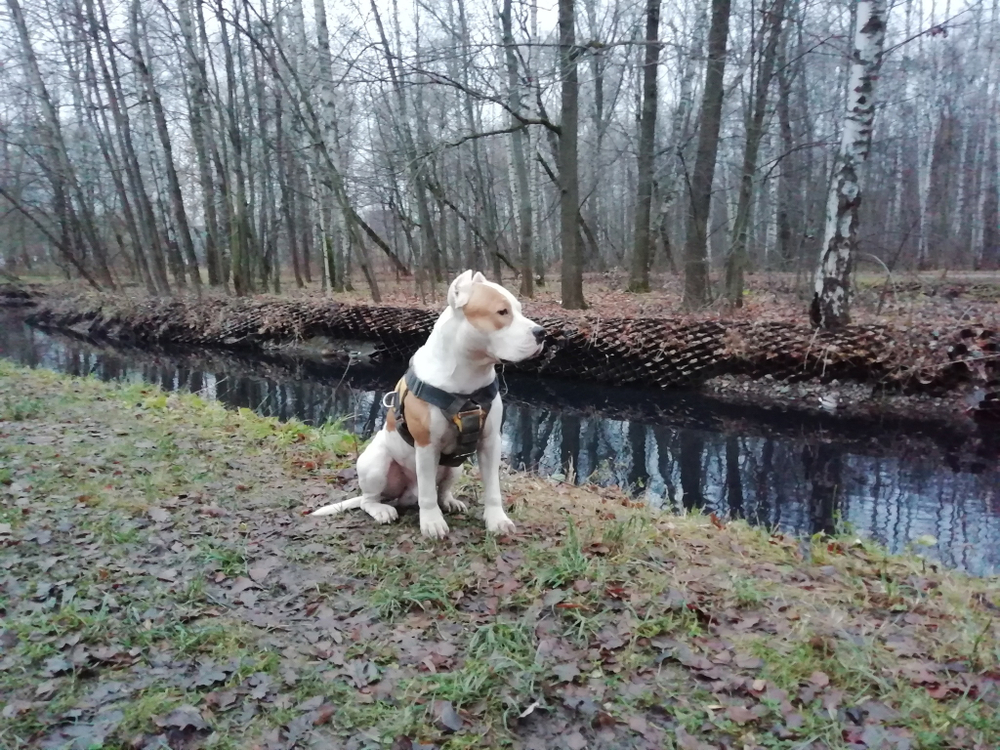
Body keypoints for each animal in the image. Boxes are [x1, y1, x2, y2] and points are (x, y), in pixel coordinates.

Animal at [312, 270, 548, 540]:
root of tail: (404, 496)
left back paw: (450, 501)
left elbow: (492, 487)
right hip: (375, 462)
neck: (468, 376)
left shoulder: (490, 442)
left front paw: (496, 519)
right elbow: (427, 492)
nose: (542, 332)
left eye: (519, 309)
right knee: (370, 499)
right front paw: (432, 523)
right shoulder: (426, 445)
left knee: (440, 490)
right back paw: (382, 510)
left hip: (455, 467)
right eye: (502, 312)